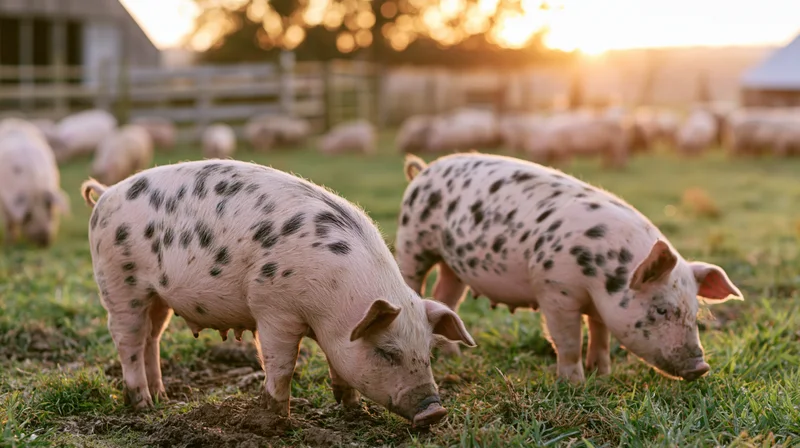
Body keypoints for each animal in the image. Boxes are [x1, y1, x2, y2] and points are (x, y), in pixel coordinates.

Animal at [79, 159, 474, 426]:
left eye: (429, 352)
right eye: (386, 352)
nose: (435, 409)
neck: (335, 303)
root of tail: (106, 194)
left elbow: (338, 366)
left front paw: (352, 409)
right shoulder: (272, 307)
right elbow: (282, 365)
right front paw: (276, 421)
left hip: (157, 295)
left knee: (152, 336)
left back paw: (162, 396)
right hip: (120, 281)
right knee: (127, 337)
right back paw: (143, 404)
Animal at [395, 152, 743, 383]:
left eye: (695, 313)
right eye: (661, 310)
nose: (701, 367)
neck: (602, 273)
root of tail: (424, 171)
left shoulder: (600, 305)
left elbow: (600, 335)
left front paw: (601, 374)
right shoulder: (554, 289)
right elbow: (569, 340)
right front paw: (574, 383)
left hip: (453, 265)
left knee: (446, 297)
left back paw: (454, 356)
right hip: (412, 241)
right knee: (415, 283)